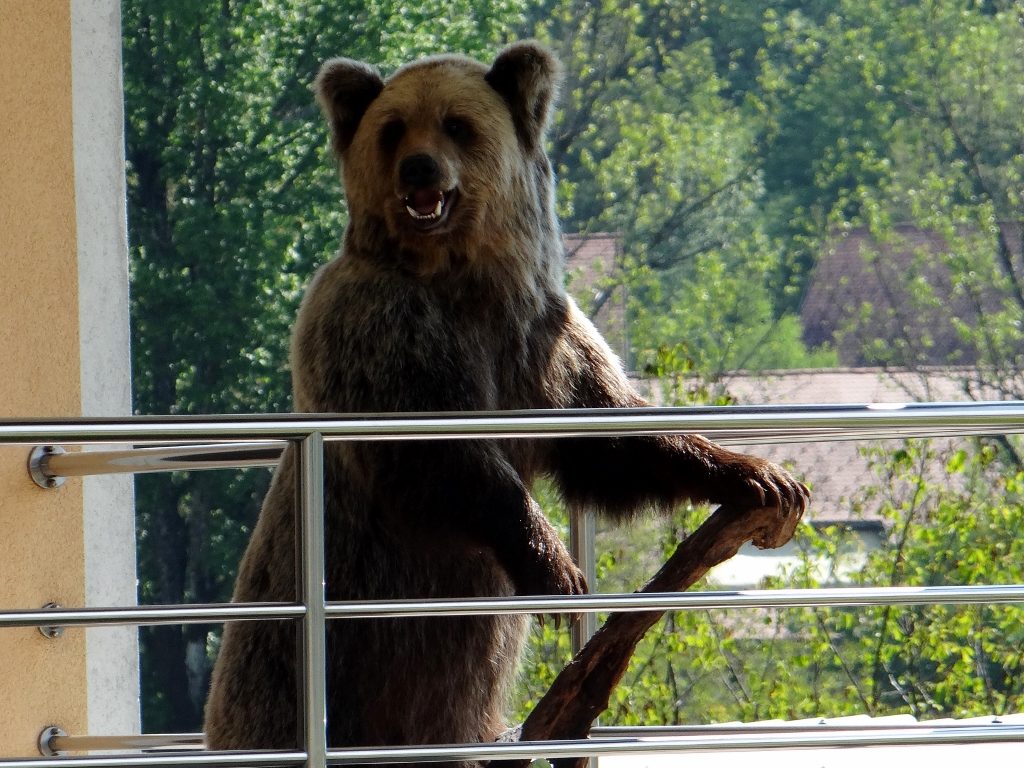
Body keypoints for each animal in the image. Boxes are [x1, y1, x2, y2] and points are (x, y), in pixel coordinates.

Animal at [203, 41, 808, 763]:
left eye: (457, 124)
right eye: (393, 128)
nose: (419, 167)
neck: (463, 278)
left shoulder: (544, 344)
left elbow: (615, 440)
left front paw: (762, 477)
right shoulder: (386, 335)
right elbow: (444, 461)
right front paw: (559, 573)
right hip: (302, 669)